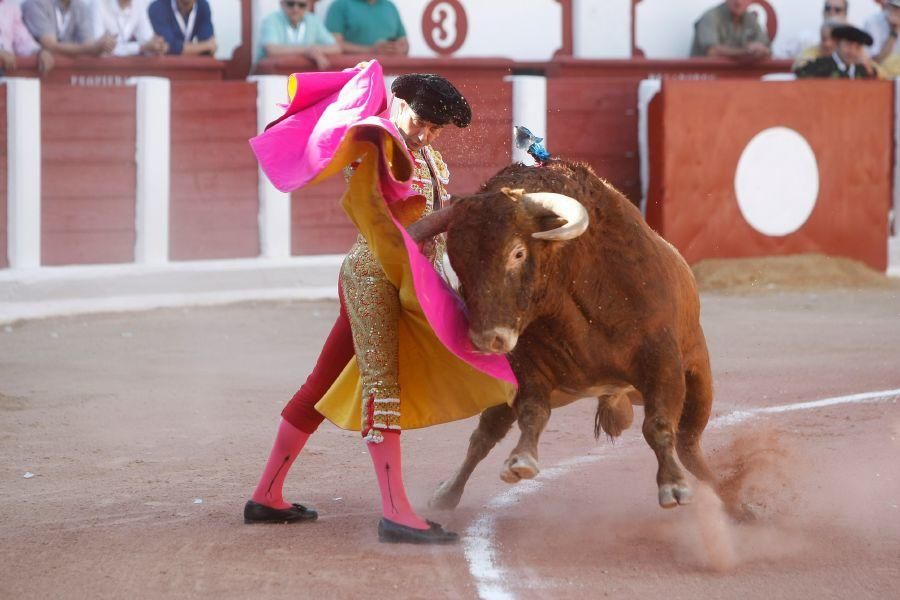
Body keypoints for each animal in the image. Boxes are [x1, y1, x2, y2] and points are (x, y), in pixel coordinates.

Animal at [410, 158, 716, 510]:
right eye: (458, 261)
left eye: (517, 253)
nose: (487, 340)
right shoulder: (526, 369)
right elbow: (532, 412)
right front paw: (521, 460)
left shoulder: (663, 360)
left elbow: (659, 425)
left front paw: (673, 486)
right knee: (485, 434)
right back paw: (447, 494)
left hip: (698, 376)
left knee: (690, 444)